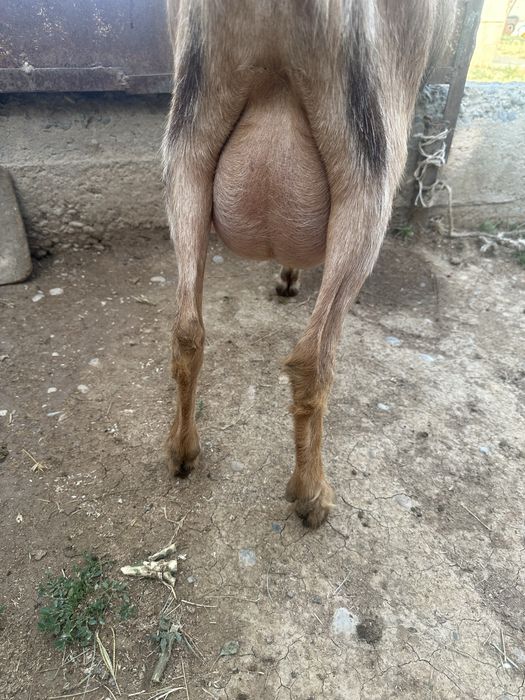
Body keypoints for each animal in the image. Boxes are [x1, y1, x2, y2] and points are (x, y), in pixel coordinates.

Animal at [162, 0, 455, 527]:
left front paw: (286, 275)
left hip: (187, 147)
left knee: (187, 332)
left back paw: (182, 452)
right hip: (369, 166)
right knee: (312, 360)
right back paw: (311, 493)